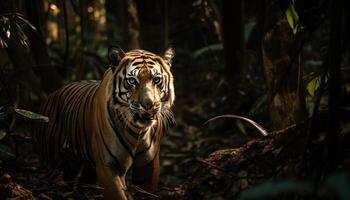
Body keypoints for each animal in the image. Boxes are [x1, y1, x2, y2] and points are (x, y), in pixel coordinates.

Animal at [34, 47, 175, 200]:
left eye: (156, 79)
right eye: (132, 80)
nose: (149, 104)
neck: (138, 130)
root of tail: (49, 96)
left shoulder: (148, 163)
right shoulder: (107, 165)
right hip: (51, 159)